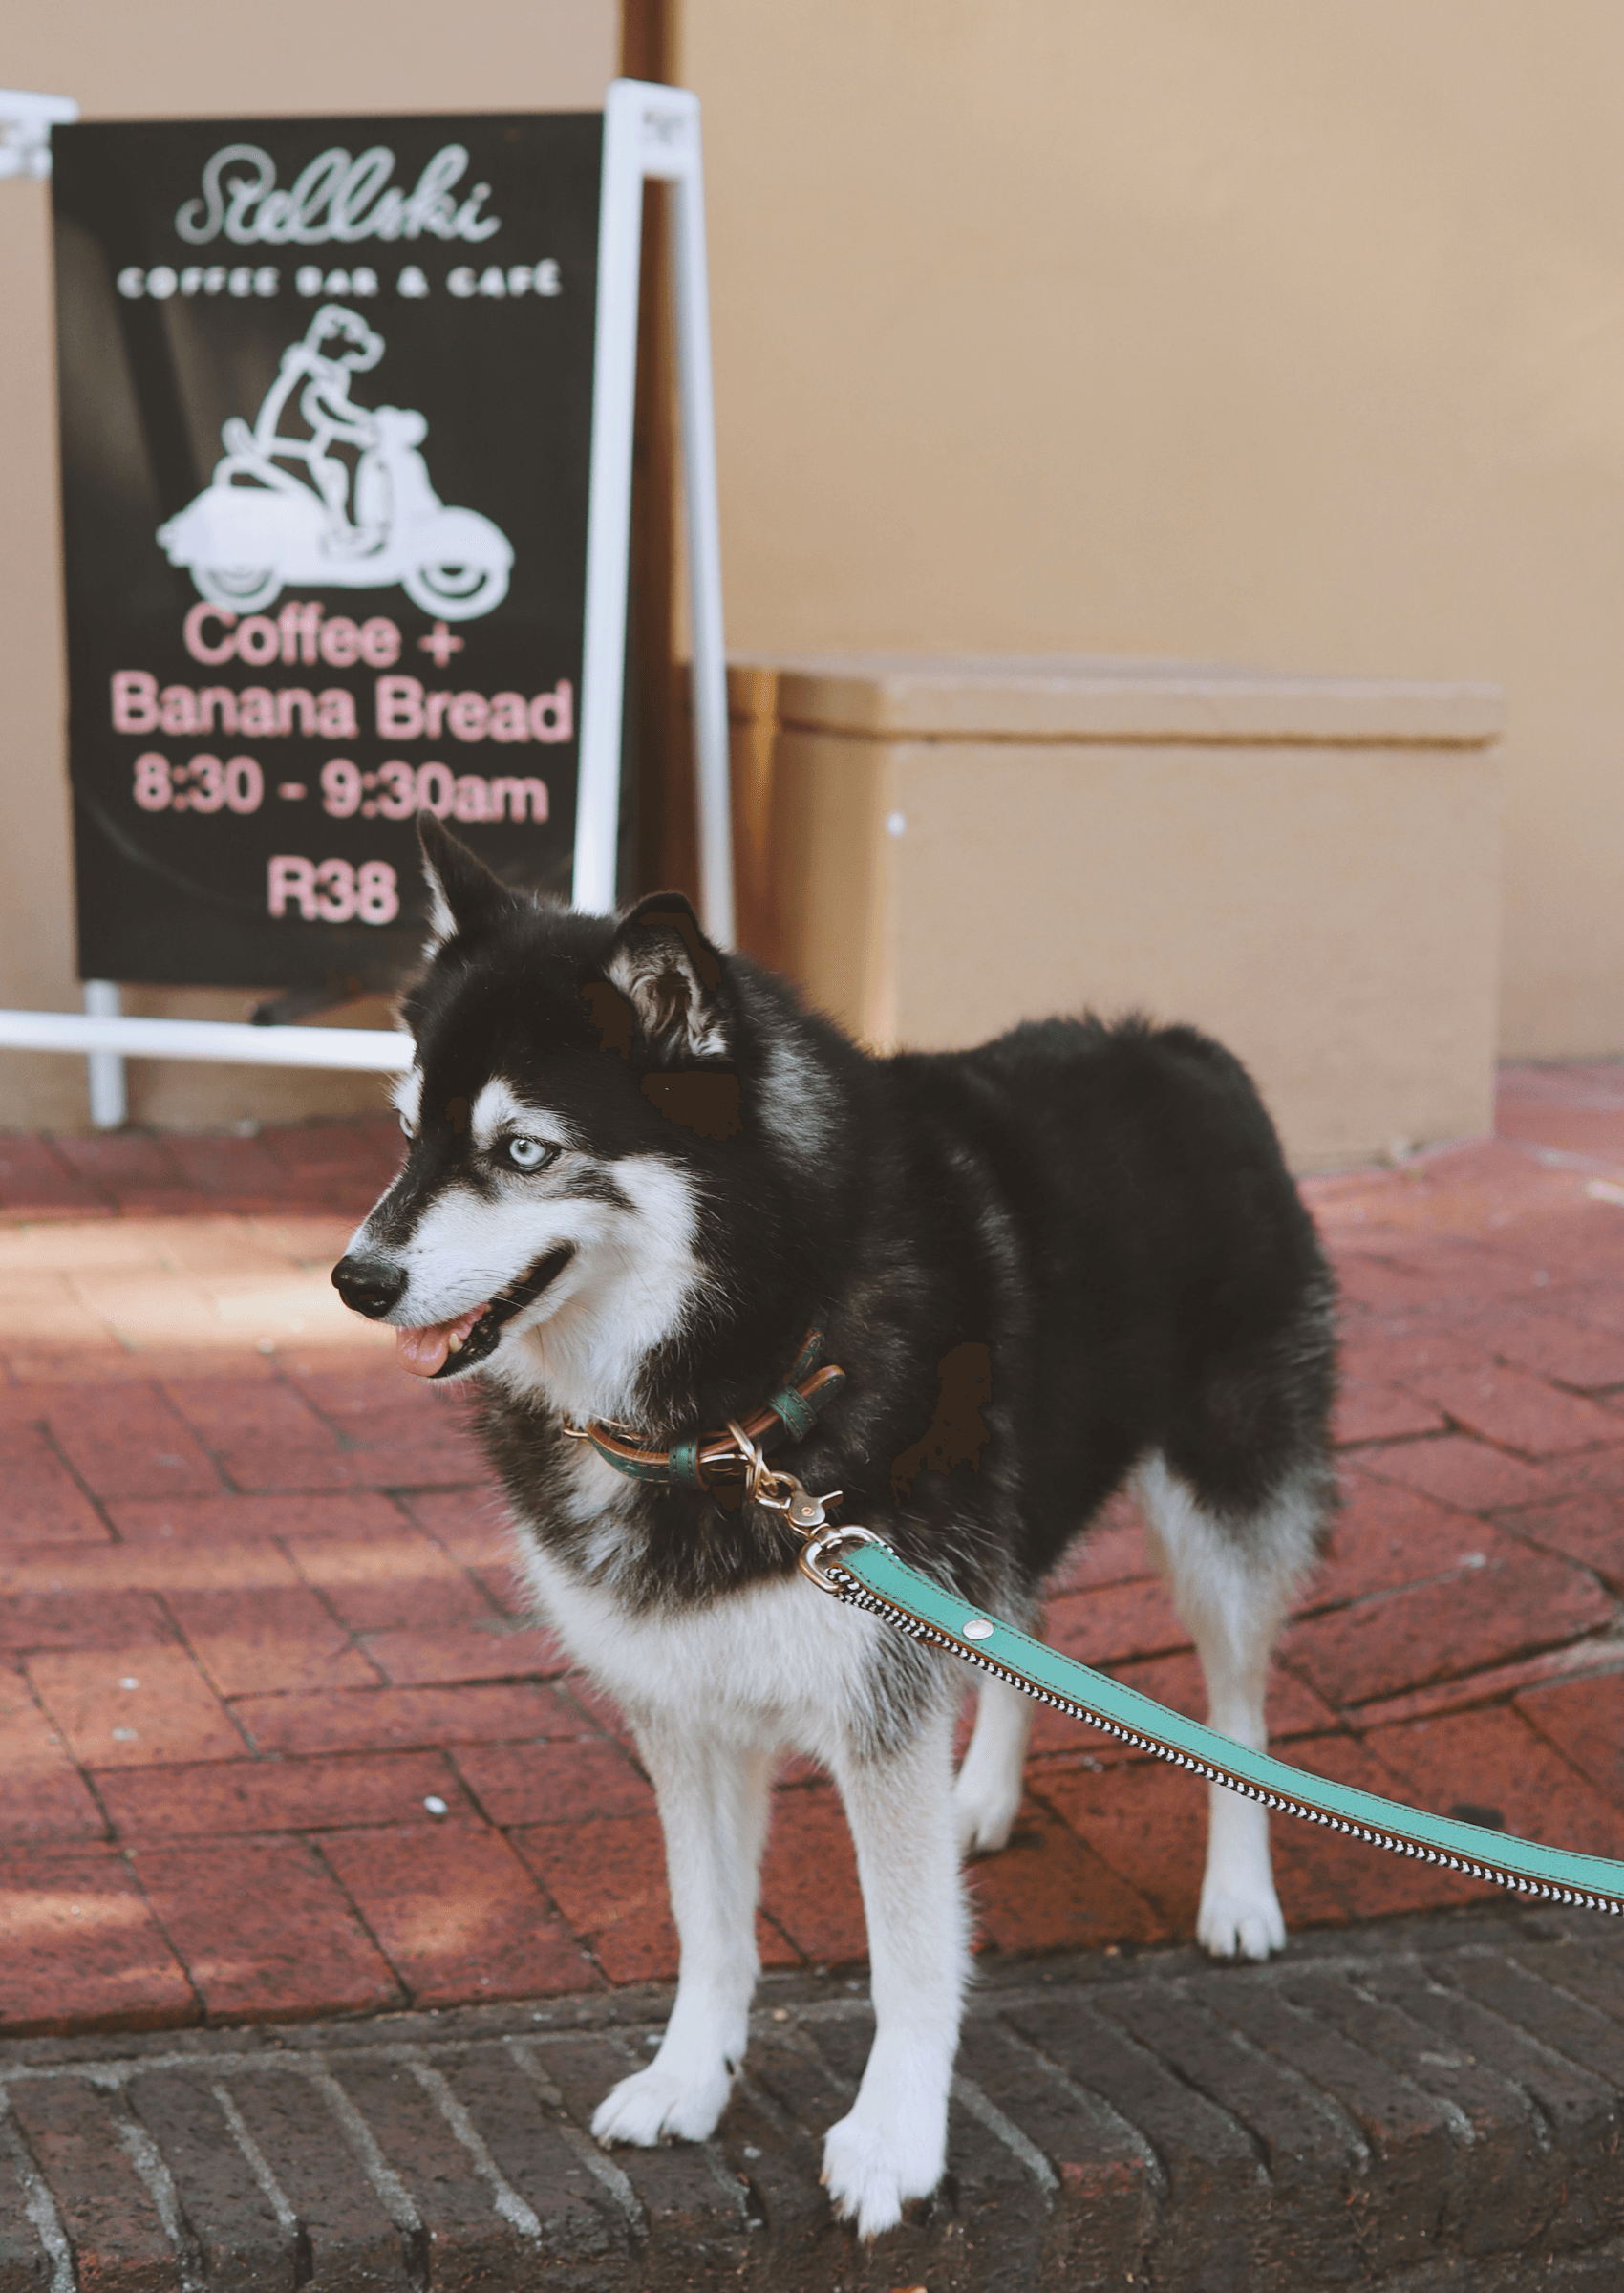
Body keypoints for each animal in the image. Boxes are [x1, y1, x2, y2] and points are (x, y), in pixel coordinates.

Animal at [330, 821, 1330, 2238]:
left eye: (522, 1151)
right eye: (409, 1133)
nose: (354, 1279)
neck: (728, 1387)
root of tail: (1178, 1045)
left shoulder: (875, 1701)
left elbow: (910, 1953)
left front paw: (895, 2137)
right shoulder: (684, 1703)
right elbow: (708, 1921)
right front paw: (690, 2076)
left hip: (1222, 1503)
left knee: (1236, 1701)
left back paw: (1238, 1891)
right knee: (1014, 1627)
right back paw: (983, 1797)